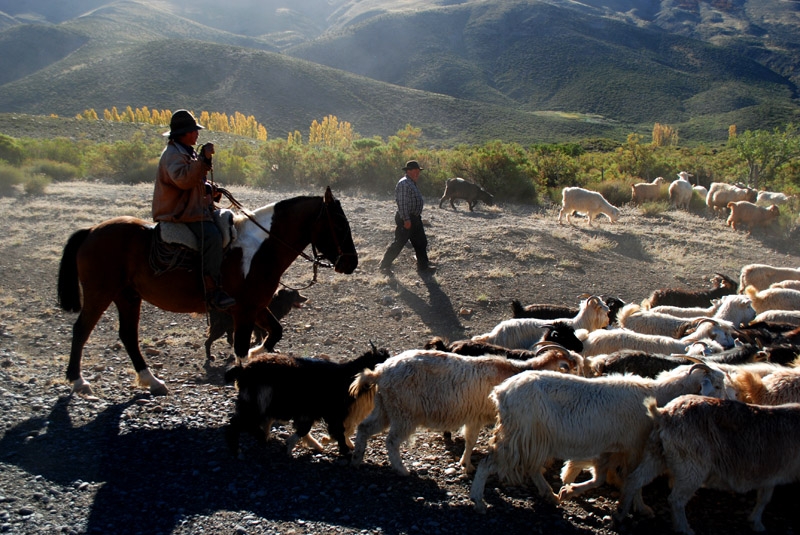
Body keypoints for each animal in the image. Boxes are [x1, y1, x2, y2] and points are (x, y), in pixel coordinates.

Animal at [56, 186, 356, 396]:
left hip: (127, 296)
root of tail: (91, 231)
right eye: (339, 224)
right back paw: (79, 381)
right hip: (100, 293)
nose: (351, 262)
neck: (261, 248)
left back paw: (152, 381)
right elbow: (241, 348)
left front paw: (259, 353)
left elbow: (274, 333)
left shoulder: (256, 306)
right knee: (81, 329)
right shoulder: (244, 310)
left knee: (128, 336)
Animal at [223, 348, 392, 456]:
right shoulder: (330, 413)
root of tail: (243, 371)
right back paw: (240, 447)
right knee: (238, 423)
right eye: (382, 362)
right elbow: (336, 431)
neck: (344, 377)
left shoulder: (310, 413)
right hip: (255, 403)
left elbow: (305, 429)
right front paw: (344, 450)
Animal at [346, 348, 580, 478]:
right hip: (405, 413)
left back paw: (357, 460)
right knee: (392, 441)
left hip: (385, 408)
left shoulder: (474, 417)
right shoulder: (478, 417)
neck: (513, 372)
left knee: (364, 428)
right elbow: (471, 440)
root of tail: (379, 372)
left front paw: (464, 464)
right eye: (569, 367)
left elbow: (470, 440)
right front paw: (467, 466)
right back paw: (402, 471)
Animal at [468, 364, 732, 516]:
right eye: (718, 385)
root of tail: (501, 391)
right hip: (519, 434)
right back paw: (478, 501)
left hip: (535, 437)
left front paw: (570, 490)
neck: (658, 394)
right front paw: (642, 507)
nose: (730, 402)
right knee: (489, 462)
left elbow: (601, 478)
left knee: (532, 469)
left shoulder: (610, 447)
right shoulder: (634, 446)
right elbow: (634, 480)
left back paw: (551, 495)